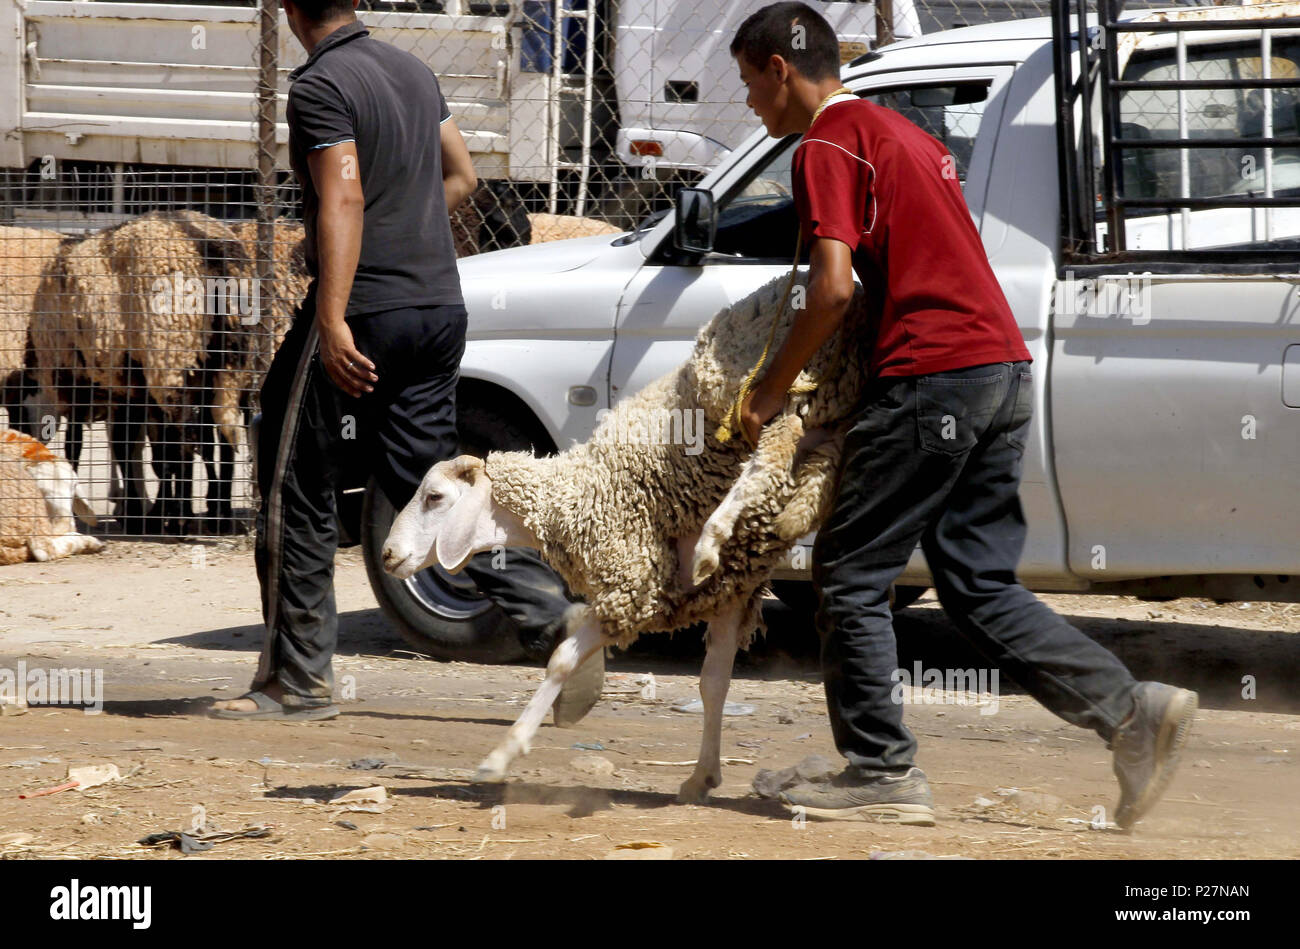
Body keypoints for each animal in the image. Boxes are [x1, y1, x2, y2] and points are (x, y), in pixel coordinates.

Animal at [384, 271, 873, 800]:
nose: (387, 554)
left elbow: (561, 661)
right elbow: (713, 681)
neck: (576, 495)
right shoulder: (727, 592)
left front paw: (500, 757)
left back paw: (715, 532)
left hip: (777, 385)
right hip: (827, 404)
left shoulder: (632, 587)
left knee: (771, 448)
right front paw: (702, 776)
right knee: (812, 450)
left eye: (434, 497)